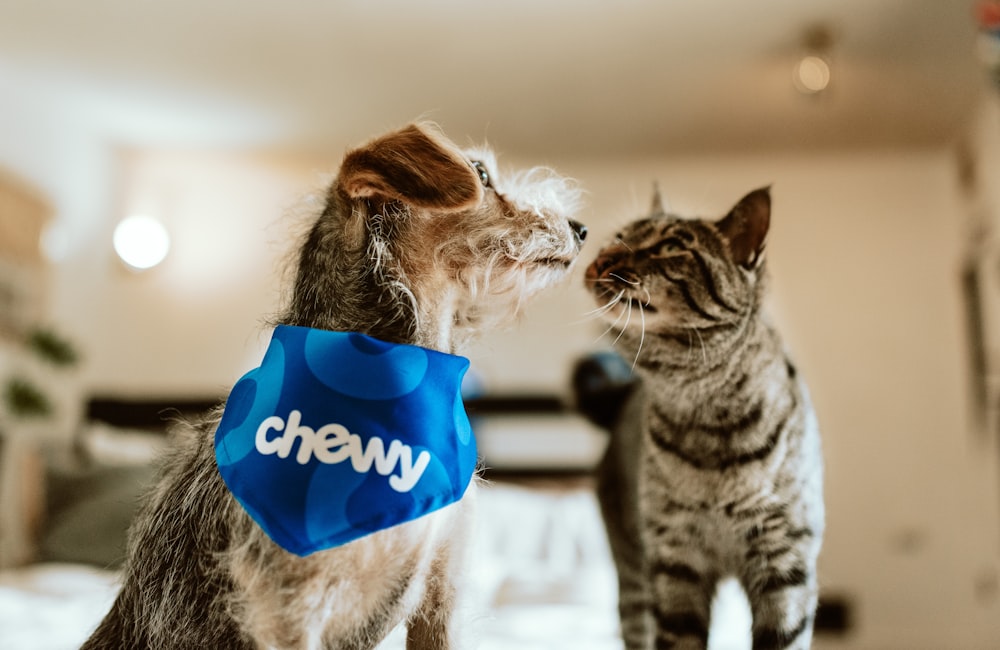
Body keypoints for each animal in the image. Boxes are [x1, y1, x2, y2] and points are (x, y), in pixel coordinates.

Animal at [576, 187, 824, 648]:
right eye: (619, 236)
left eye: (671, 247)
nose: (601, 257)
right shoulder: (675, 563)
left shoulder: (785, 563)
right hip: (634, 578)